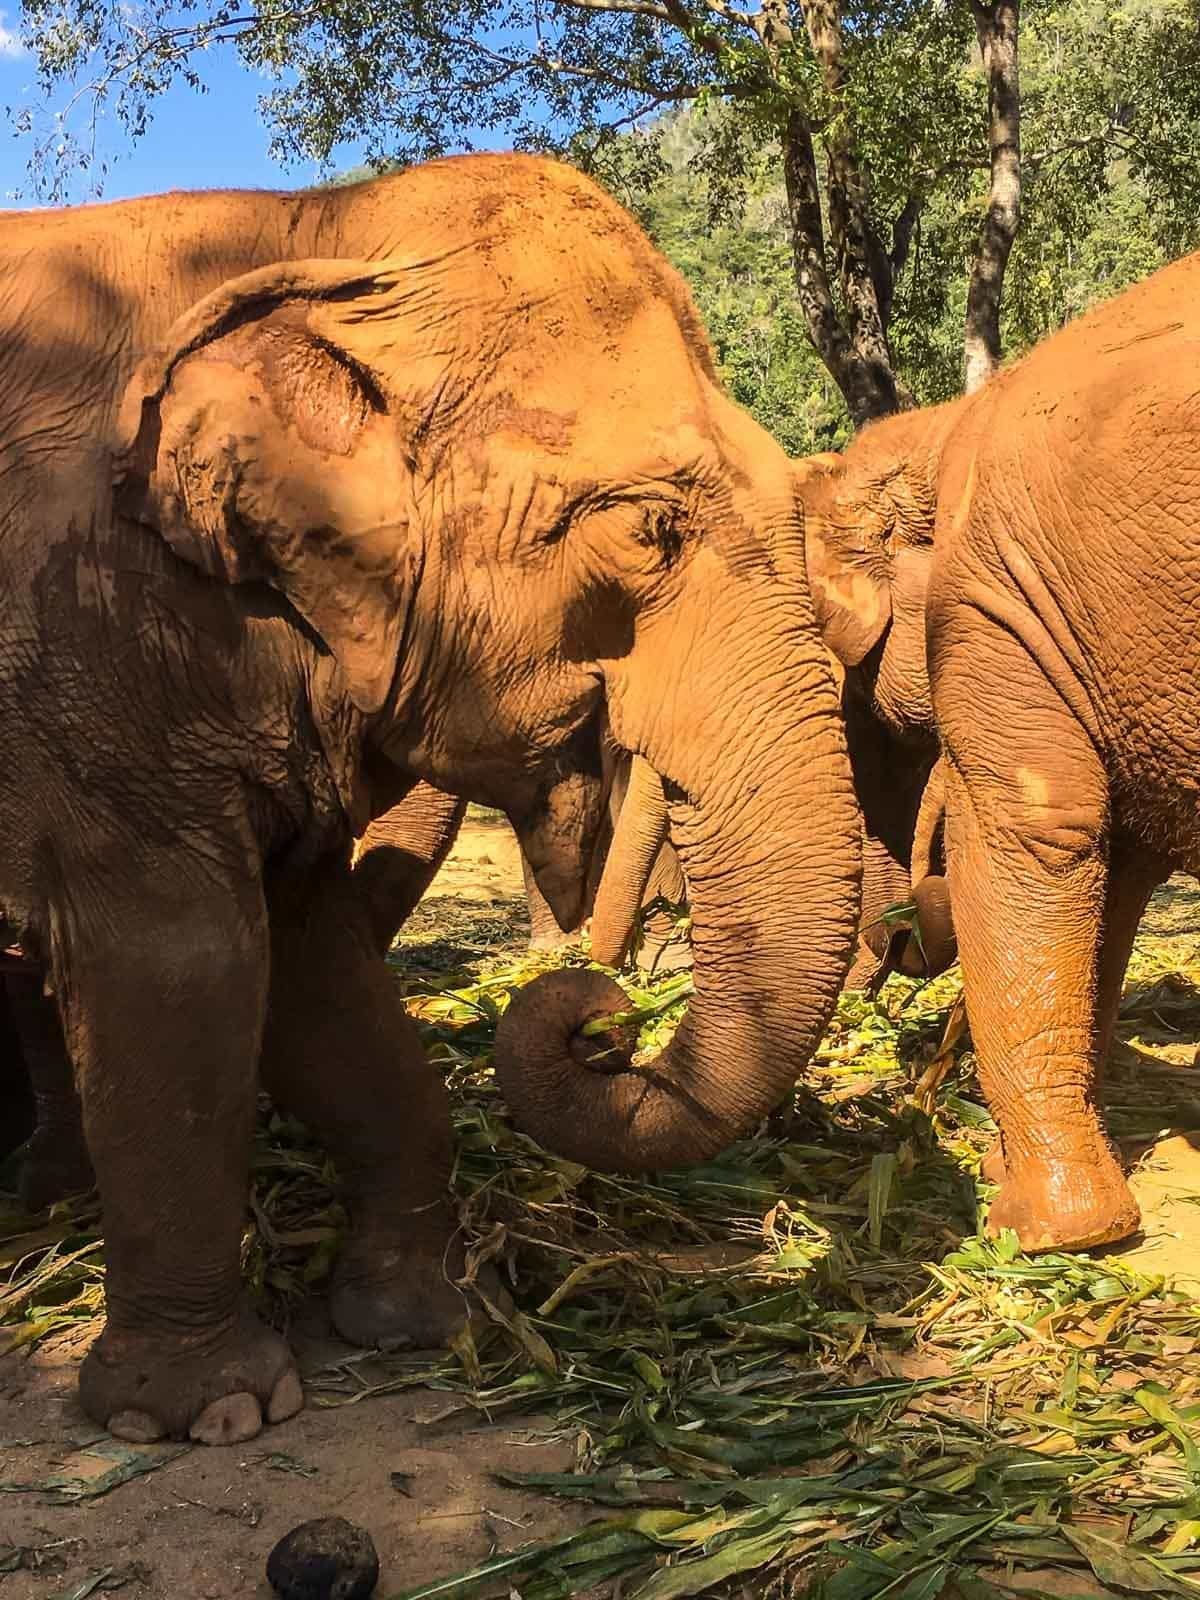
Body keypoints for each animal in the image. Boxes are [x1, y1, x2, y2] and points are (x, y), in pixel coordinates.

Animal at [0, 152, 862, 1444]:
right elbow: (187, 964)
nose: (601, 1015)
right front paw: (206, 1412)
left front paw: (425, 1319)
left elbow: (314, 966)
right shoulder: (91, 648)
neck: (313, 223)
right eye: (651, 528)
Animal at [797, 246, 1200, 1254]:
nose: (896, 931)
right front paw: (1007, 1175)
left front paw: (1047, 1229)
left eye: (853, 705)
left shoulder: (1001, 598)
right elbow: (1115, 869)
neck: (940, 428)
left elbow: (1035, 832)